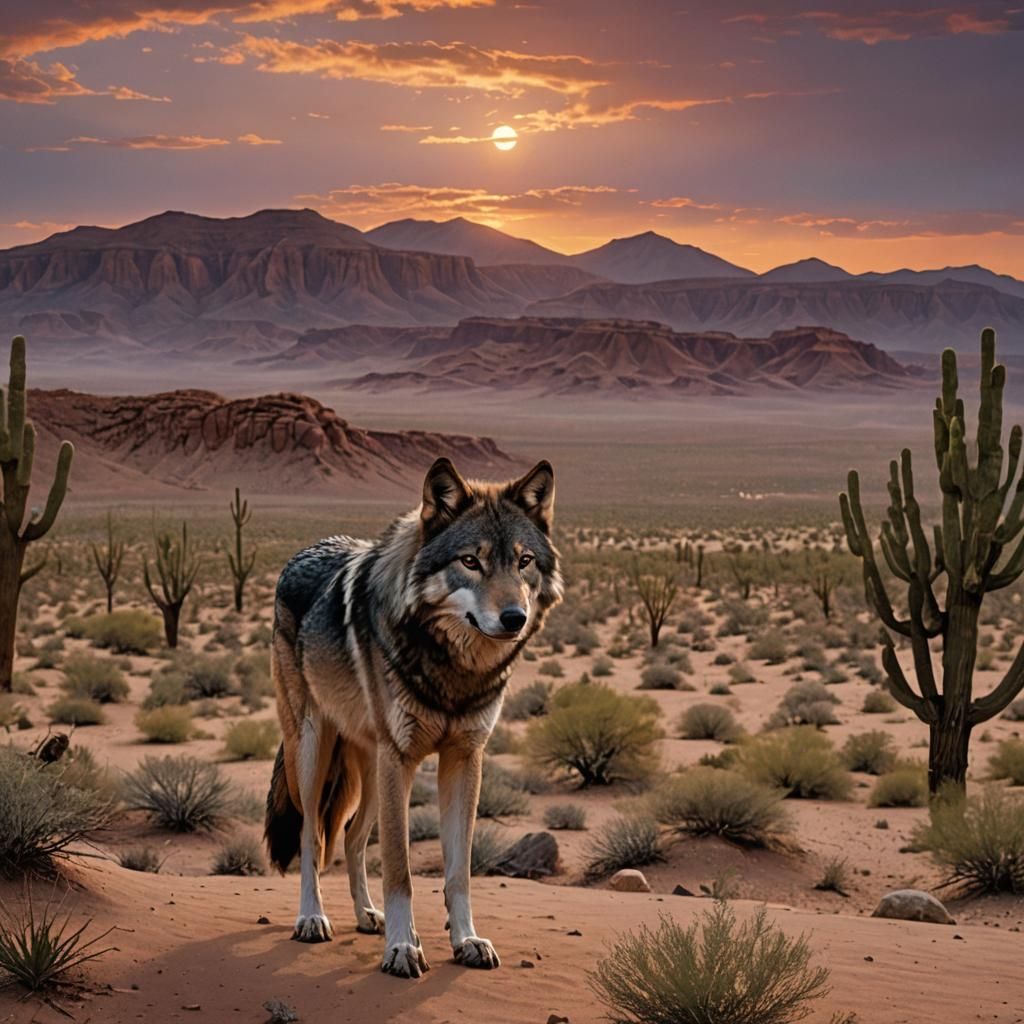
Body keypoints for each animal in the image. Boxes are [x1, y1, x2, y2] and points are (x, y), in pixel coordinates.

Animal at [264, 457, 562, 978]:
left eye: (523, 561)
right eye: (470, 561)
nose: (514, 618)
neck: (453, 673)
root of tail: (300, 553)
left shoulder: (464, 758)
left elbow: (458, 871)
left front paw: (465, 941)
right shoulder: (399, 758)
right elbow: (400, 870)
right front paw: (403, 948)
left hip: (368, 768)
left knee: (352, 836)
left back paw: (367, 915)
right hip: (315, 752)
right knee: (311, 837)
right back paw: (312, 918)